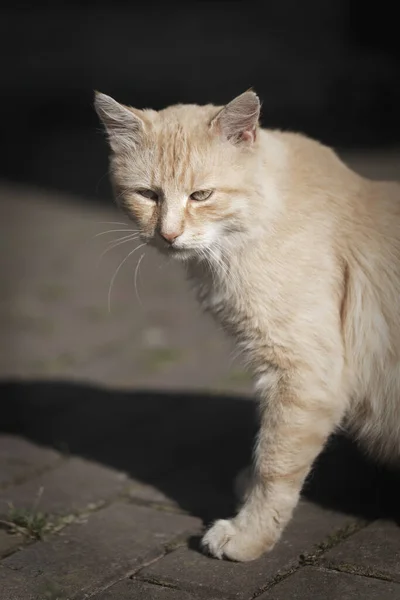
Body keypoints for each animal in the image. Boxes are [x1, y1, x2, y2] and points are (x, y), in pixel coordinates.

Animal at [95, 90, 400, 564]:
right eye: (147, 194)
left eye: (201, 195)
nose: (168, 235)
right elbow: (267, 447)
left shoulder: (305, 374)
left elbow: (276, 462)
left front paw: (249, 534)